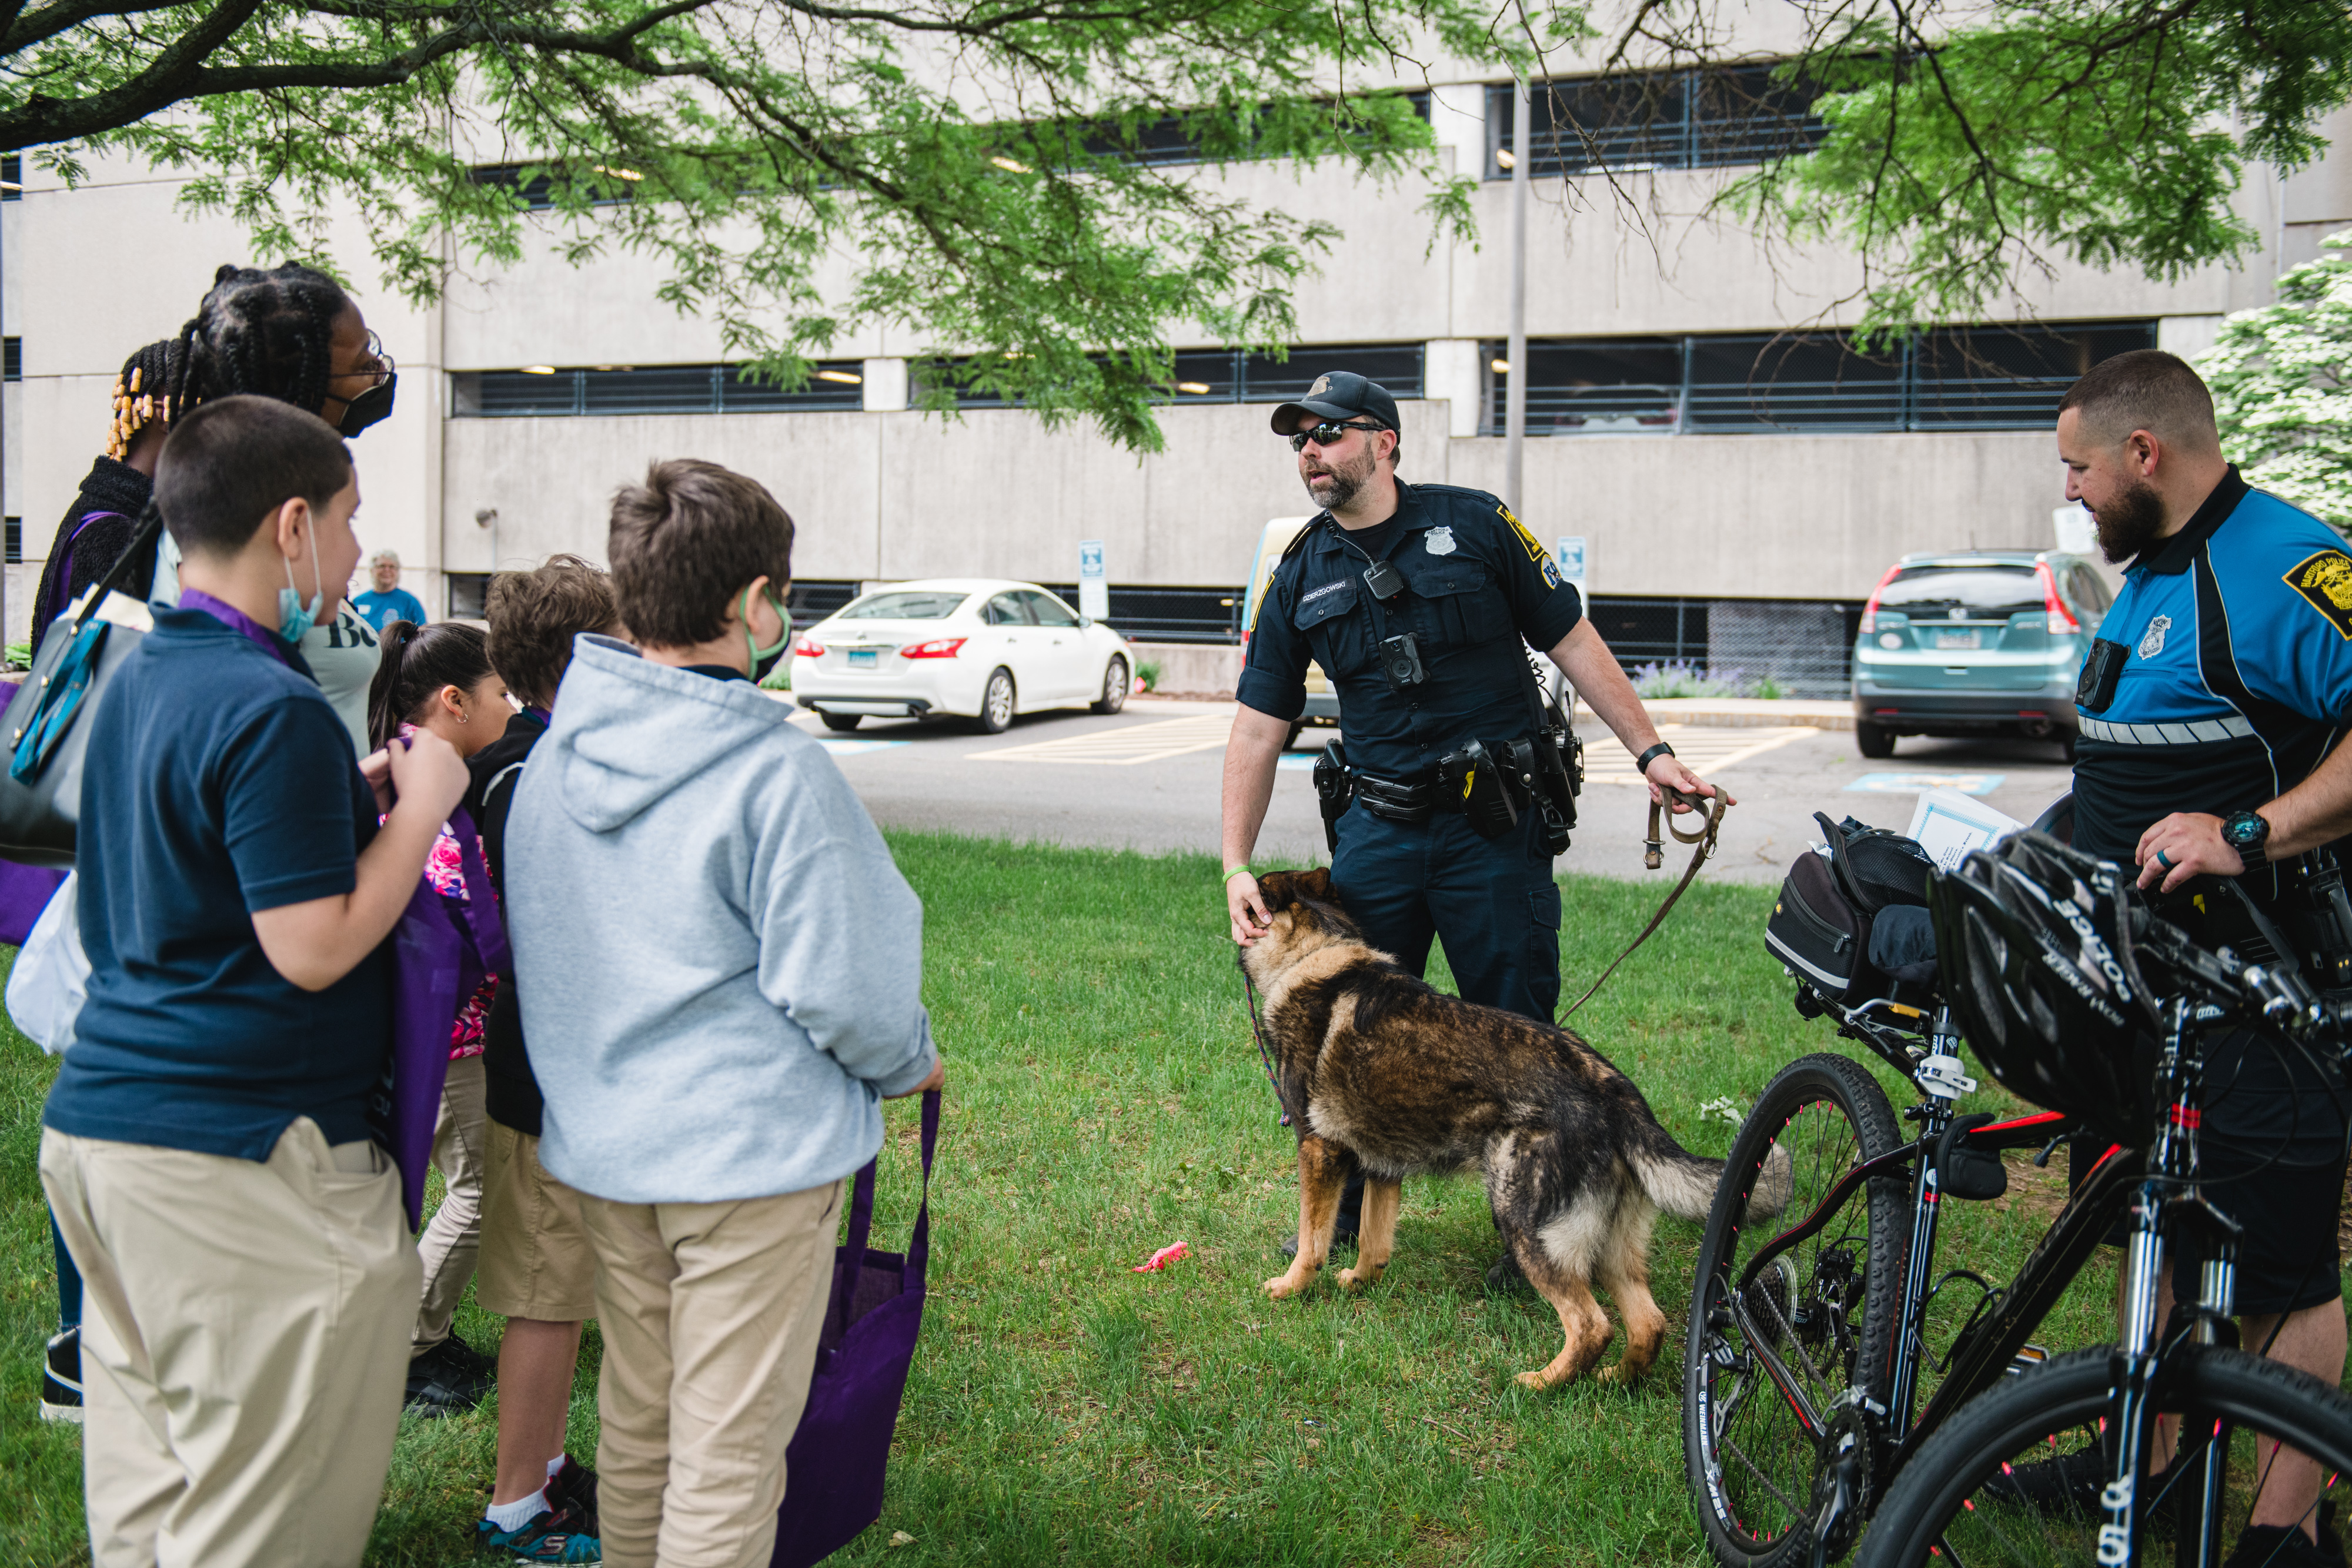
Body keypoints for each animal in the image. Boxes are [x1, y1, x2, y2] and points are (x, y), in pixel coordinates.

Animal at [1251, 865, 1778, 1392]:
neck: (1314, 954)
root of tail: (1616, 1093)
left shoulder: (1318, 1151)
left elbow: (1314, 1238)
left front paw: (1290, 1286)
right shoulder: (1383, 1165)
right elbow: (1373, 1239)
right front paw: (1361, 1280)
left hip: (1527, 1222)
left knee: (1592, 1325)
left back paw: (1540, 1383)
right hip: (1610, 1248)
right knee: (1649, 1323)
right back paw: (1614, 1380)